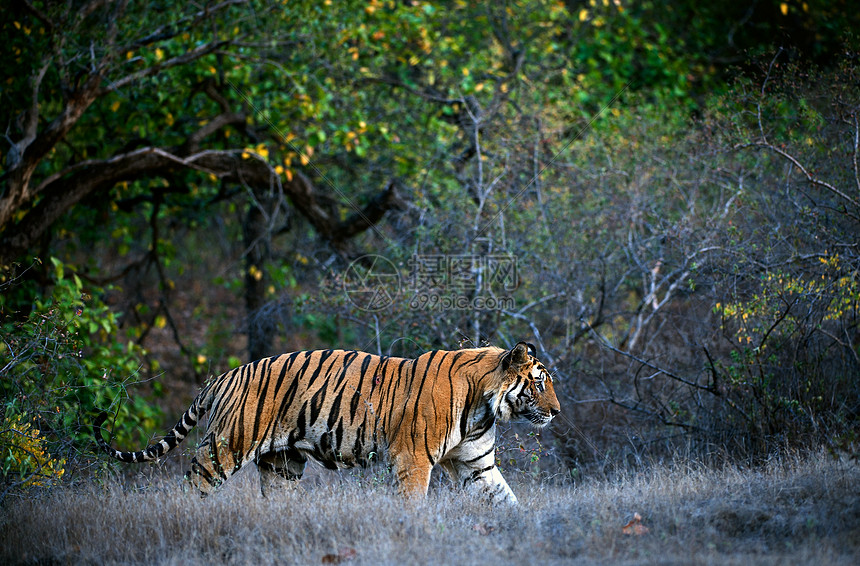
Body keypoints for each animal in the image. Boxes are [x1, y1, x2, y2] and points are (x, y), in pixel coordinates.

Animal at [94, 342, 560, 506]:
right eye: (539, 383)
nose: (557, 411)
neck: (485, 406)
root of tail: (225, 375)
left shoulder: (477, 465)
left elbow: (507, 502)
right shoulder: (412, 460)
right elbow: (413, 507)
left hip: (282, 465)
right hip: (226, 447)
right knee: (192, 486)